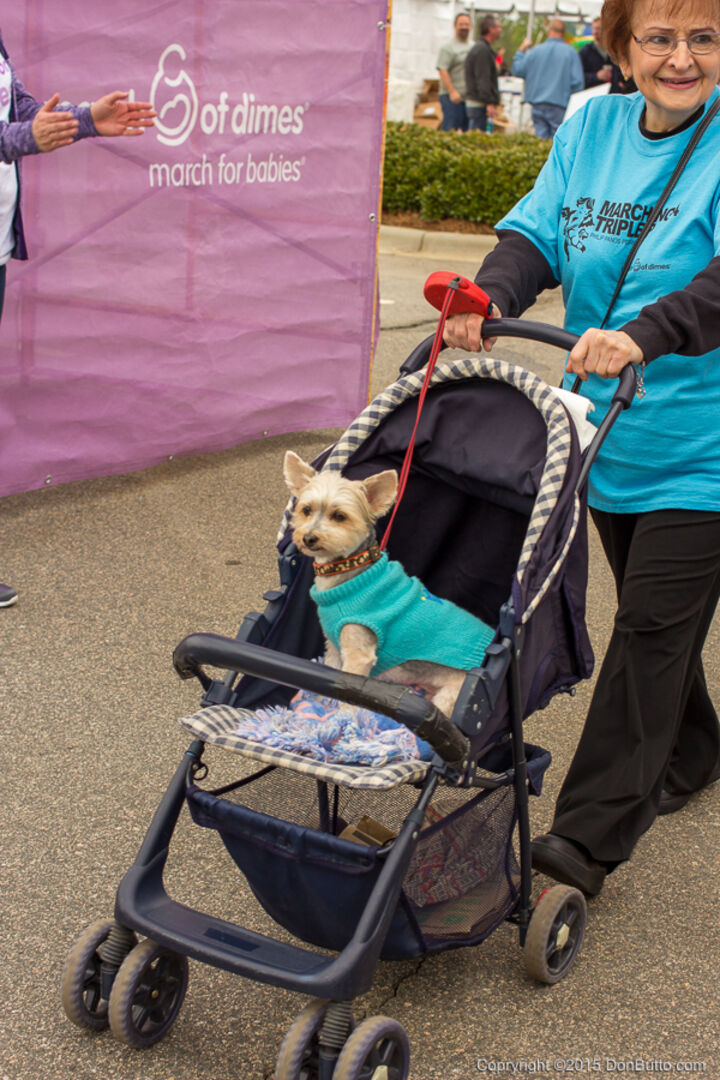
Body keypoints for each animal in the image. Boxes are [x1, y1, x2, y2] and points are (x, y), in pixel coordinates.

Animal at [283, 451, 495, 717]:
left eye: (339, 516)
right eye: (306, 510)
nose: (308, 538)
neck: (350, 571)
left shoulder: (358, 655)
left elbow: (346, 695)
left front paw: (344, 719)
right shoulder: (333, 645)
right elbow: (327, 676)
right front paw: (322, 704)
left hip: (453, 699)